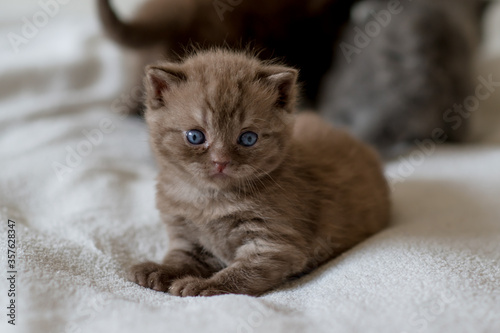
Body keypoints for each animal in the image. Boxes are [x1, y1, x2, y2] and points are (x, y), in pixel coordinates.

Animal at [129, 50, 390, 296]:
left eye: (248, 138)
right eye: (195, 136)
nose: (220, 161)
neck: (210, 201)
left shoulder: (275, 245)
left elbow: (240, 274)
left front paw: (202, 286)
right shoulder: (186, 237)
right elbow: (180, 258)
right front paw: (159, 270)